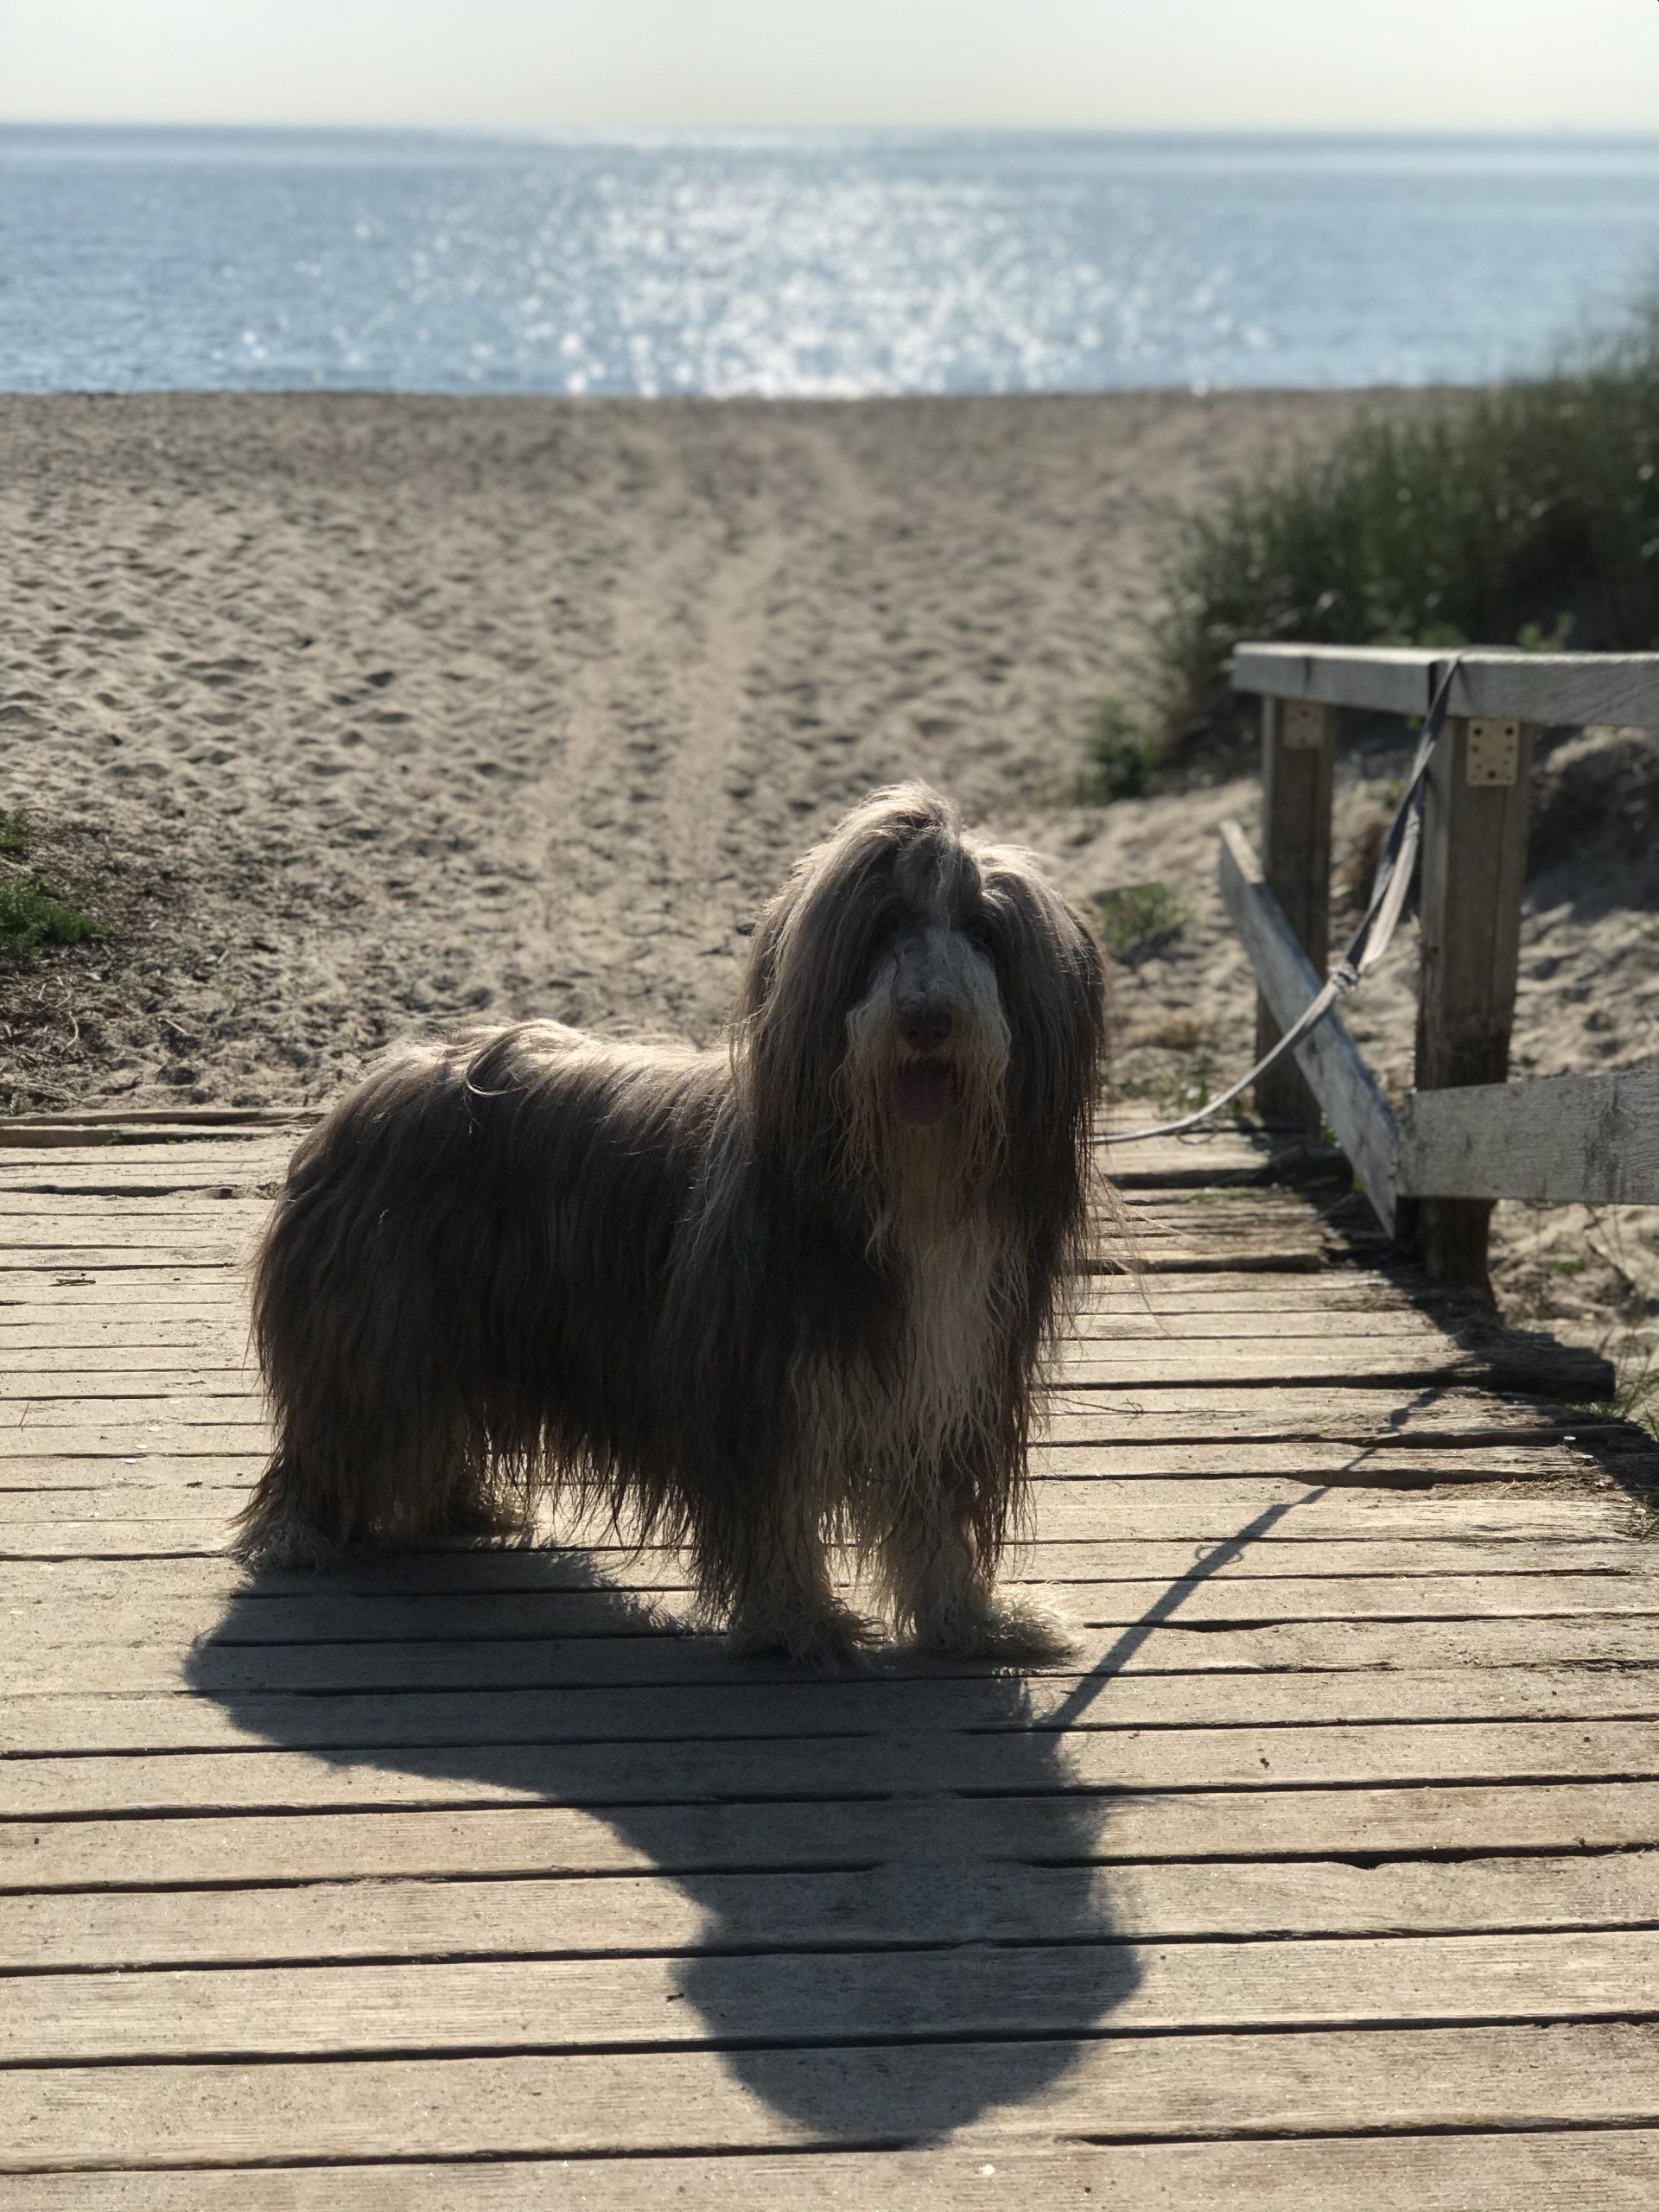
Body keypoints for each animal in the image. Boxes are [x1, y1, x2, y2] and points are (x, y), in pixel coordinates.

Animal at [236, 783, 1107, 1662]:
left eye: (982, 931)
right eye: (886, 926)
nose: (927, 1019)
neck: (905, 1188)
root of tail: (371, 1088)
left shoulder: (951, 1380)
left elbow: (935, 1521)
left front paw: (972, 1621)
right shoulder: (756, 1387)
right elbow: (775, 1516)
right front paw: (800, 1620)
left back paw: (461, 1507)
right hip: (380, 1324)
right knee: (346, 1426)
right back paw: (300, 1531)